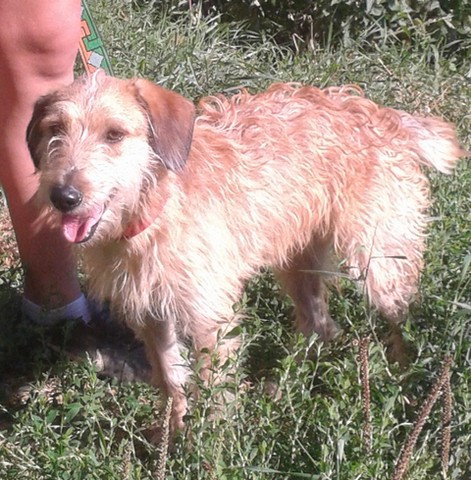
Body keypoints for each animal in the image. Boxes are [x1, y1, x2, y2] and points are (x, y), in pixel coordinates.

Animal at [26, 70, 464, 432]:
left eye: (114, 135)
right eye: (55, 129)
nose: (64, 196)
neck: (151, 214)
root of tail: (384, 116)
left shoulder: (209, 319)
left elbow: (213, 393)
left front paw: (208, 450)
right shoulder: (151, 314)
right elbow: (171, 380)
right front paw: (172, 435)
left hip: (378, 260)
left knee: (399, 318)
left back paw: (403, 383)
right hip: (299, 263)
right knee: (320, 325)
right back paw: (283, 385)